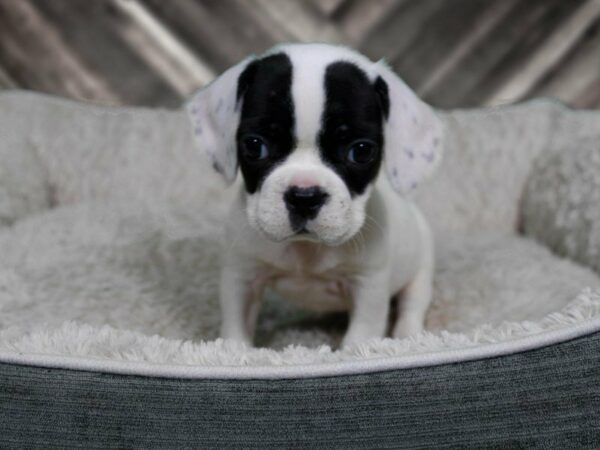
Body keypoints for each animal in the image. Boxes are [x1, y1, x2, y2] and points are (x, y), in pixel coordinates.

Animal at [185, 44, 442, 348]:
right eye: (255, 145)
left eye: (361, 151)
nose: (304, 195)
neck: (305, 249)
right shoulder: (241, 276)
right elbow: (235, 328)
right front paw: (235, 352)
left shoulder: (368, 286)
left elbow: (361, 336)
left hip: (421, 269)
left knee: (412, 305)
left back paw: (408, 337)